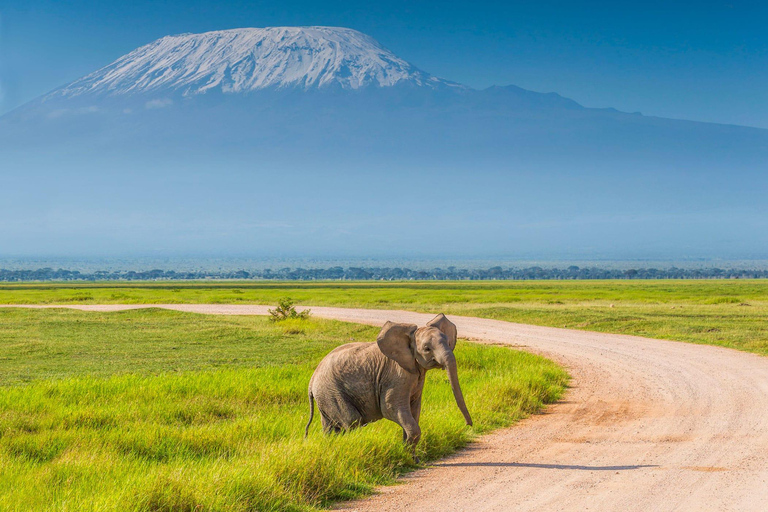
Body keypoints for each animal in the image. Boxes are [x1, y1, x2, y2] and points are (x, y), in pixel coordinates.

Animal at [304, 314, 472, 458]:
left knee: (330, 427)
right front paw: (407, 456)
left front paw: (410, 457)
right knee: (352, 421)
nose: (467, 425)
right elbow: (391, 408)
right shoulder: (396, 375)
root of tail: (311, 381)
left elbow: (414, 410)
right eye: (427, 349)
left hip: (325, 395)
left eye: (449, 343)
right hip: (331, 392)